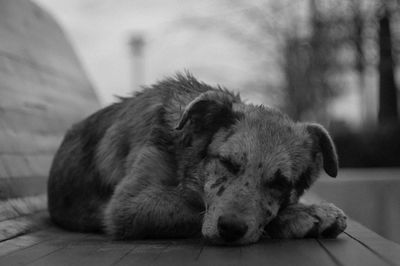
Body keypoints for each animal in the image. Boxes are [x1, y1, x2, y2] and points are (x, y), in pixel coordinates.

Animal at [47, 73, 346, 245]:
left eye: (281, 183)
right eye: (227, 163)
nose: (231, 229)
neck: (184, 148)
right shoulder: (127, 205)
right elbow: (196, 208)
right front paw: (303, 214)